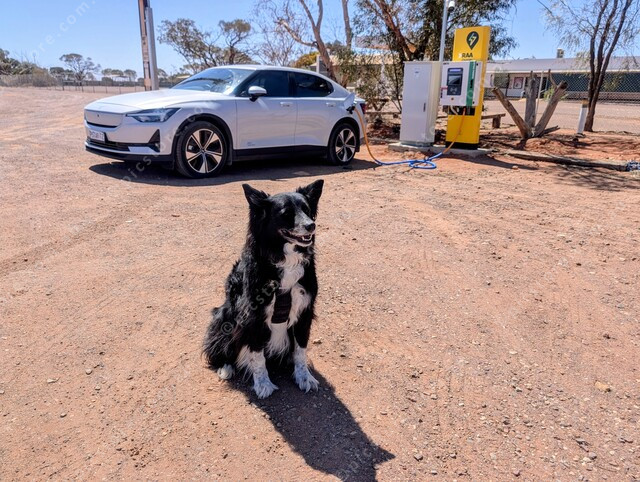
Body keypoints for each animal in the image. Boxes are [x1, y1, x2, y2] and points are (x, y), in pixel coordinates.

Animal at [203, 179, 324, 398]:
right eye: (286, 213)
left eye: (307, 210)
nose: (311, 225)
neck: (283, 259)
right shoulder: (253, 317)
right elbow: (257, 356)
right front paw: (263, 384)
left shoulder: (305, 313)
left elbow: (300, 351)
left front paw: (304, 377)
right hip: (224, 316)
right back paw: (226, 367)